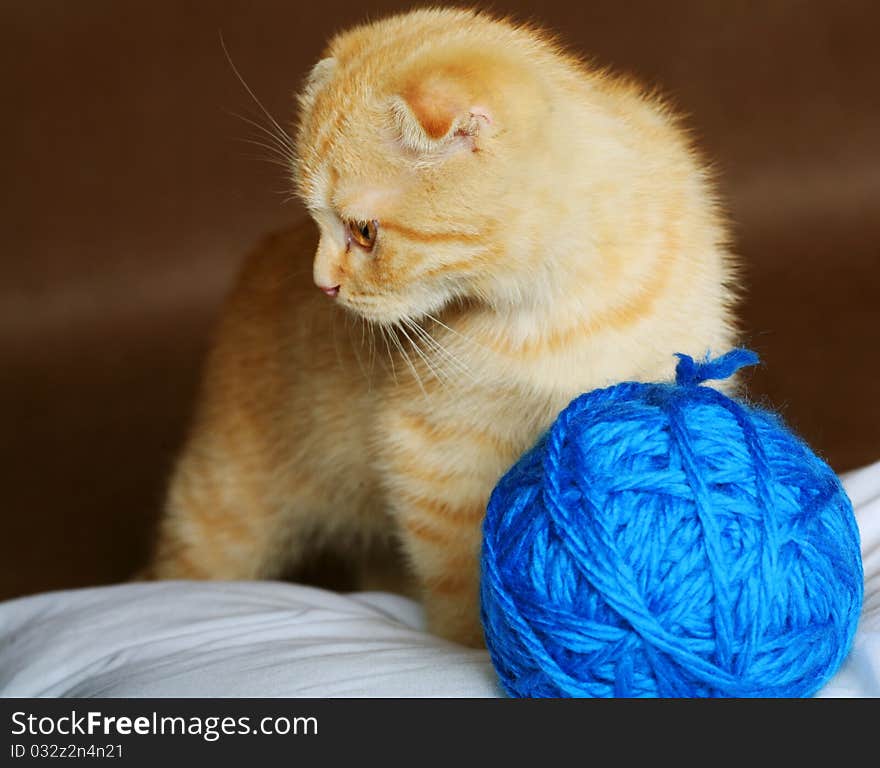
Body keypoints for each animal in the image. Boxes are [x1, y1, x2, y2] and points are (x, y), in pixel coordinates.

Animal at [144, 9, 736, 648]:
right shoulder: (430, 450)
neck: (560, 306)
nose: (321, 284)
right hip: (224, 506)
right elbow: (461, 573)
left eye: (364, 232)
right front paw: (474, 649)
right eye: (316, 223)